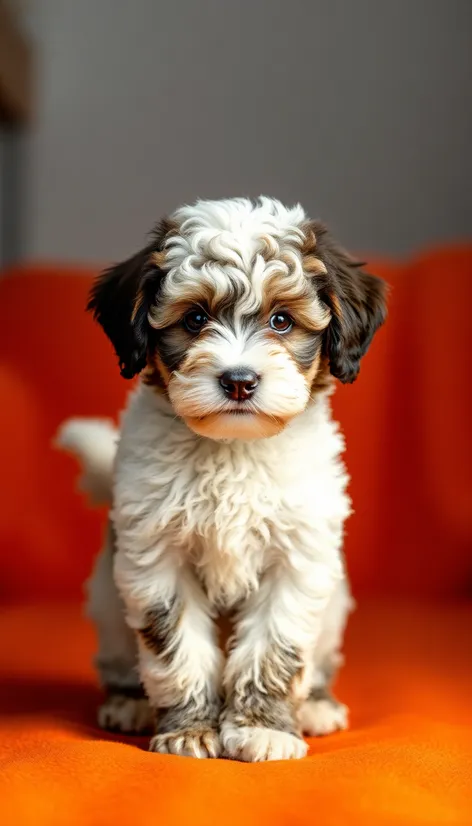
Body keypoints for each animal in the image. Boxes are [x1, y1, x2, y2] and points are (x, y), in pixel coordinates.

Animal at [58, 195, 388, 760]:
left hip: (334, 606)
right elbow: (178, 648)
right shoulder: (157, 557)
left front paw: (263, 728)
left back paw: (316, 706)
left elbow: (275, 648)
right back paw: (130, 703)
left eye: (281, 320)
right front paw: (190, 729)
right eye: (194, 319)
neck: (233, 448)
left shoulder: (296, 558)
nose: (238, 381)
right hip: (107, 599)